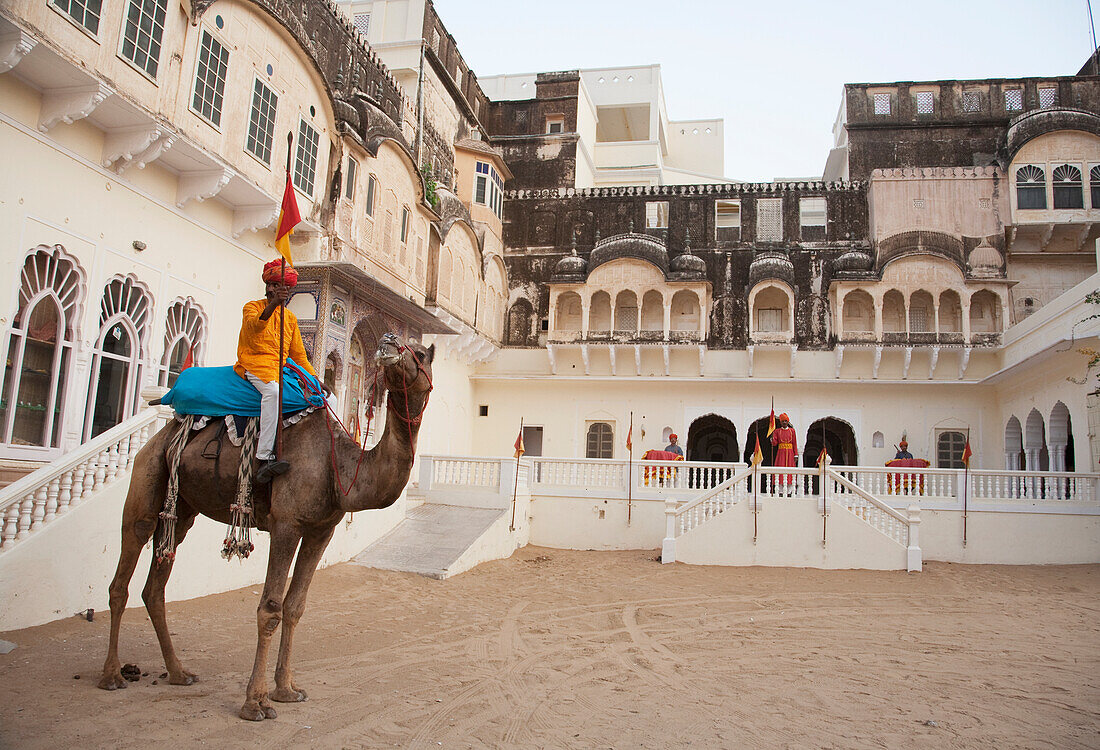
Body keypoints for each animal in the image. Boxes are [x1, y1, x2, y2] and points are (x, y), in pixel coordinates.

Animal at [96, 332, 433, 717]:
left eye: (421, 353)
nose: (389, 341)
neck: (339, 468)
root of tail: (165, 429)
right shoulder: (287, 523)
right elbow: (270, 608)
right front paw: (255, 702)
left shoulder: (321, 530)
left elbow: (295, 606)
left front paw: (286, 689)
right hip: (146, 474)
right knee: (124, 569)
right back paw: (112, 675)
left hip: (181, 510)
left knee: (155, 583)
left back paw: (179, 673)